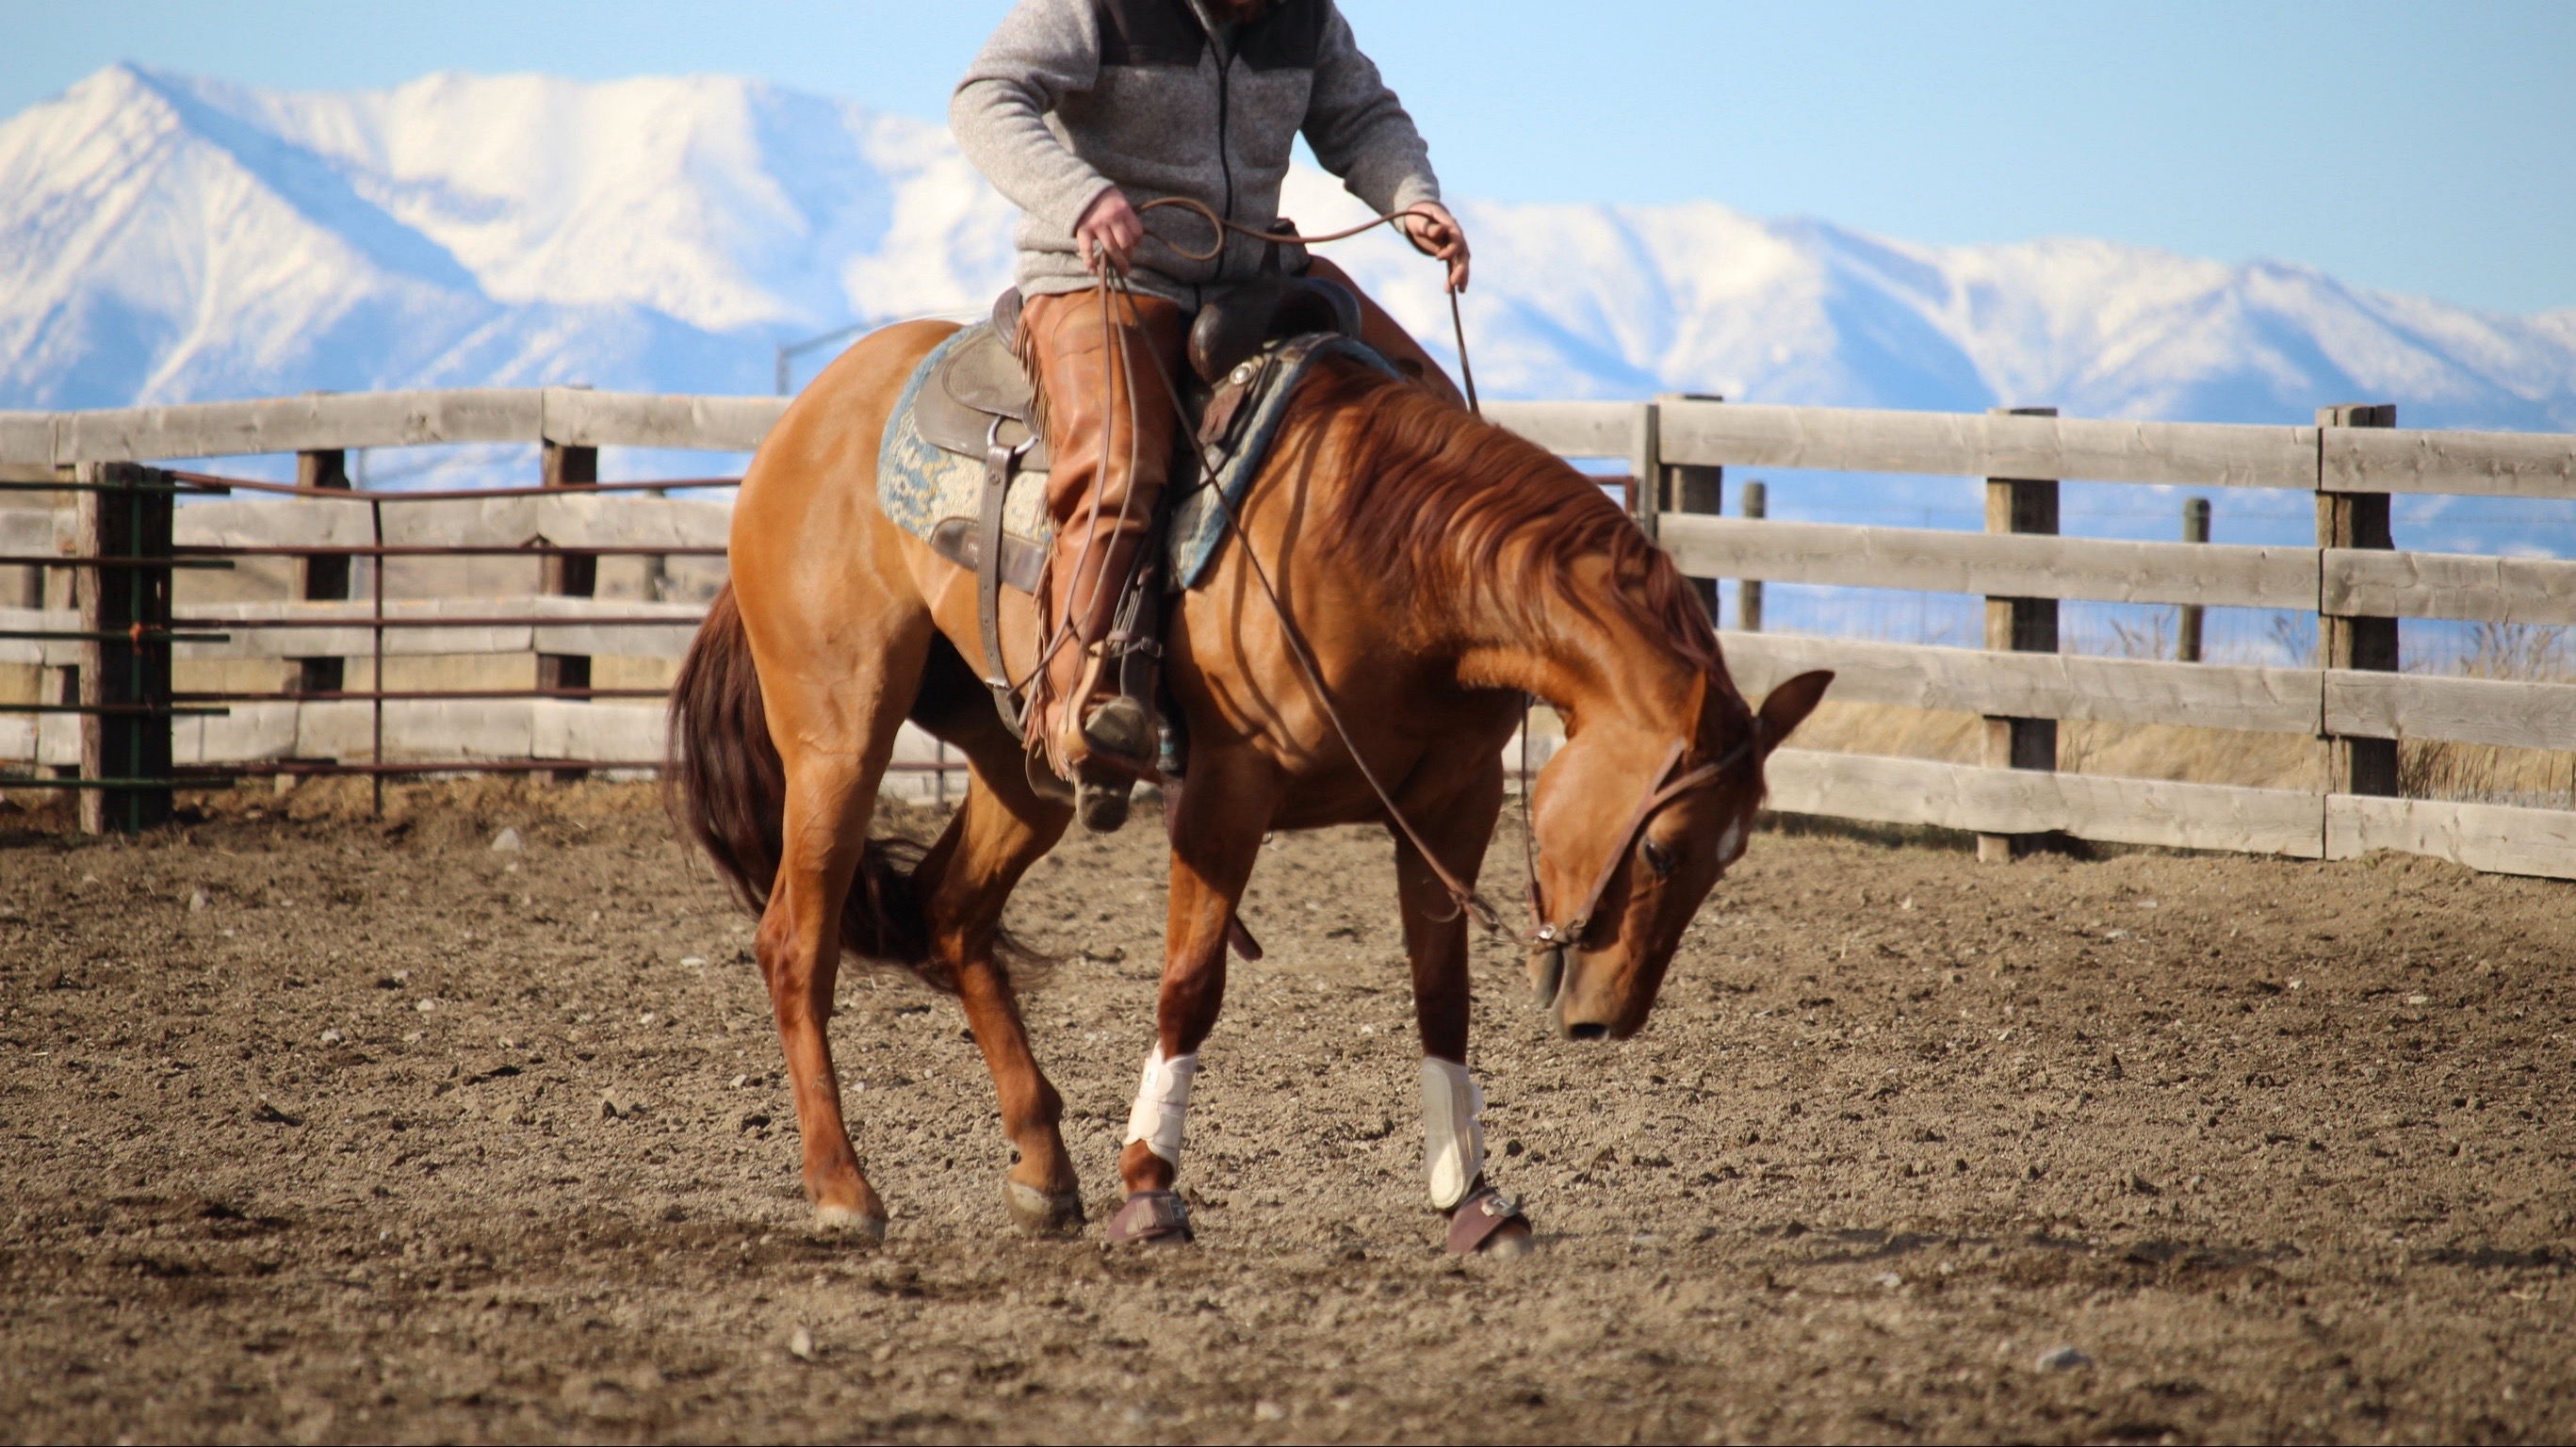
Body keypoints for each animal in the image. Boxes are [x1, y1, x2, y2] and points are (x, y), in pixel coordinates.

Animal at [666, 316, 1831, 1251]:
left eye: (1724, 866)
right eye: (1664, 847)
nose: (1606, 1019)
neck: (1393, 554)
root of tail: (806, 417)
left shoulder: (1447, 807)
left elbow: (1441, 999)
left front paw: (1472, 1199)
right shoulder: (1229, 792)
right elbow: (1191, 985)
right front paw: (1151, 1190)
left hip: (1022, 765)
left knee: (951, 910)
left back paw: (1043, 1172)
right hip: (839, 734)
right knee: (796, 942)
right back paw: (843, 1190)